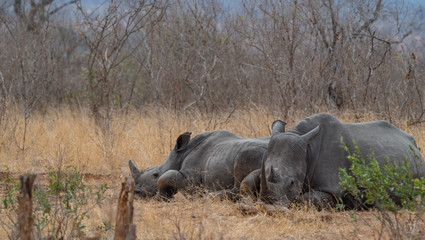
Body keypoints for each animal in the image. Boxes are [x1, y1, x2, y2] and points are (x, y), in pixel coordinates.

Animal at [128, 121, 284, 200]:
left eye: (155, 174)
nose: (136, 193)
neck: (180, 155)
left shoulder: (191, 181)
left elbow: (168, 176)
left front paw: (161, 198)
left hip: (258, 154)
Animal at [258, 113, 424, 208]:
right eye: (262, 176)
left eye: (292, 183)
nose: (269, 203)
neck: (308, 150)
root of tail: (413, 143)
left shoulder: (332, 189)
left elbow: (304, 199)